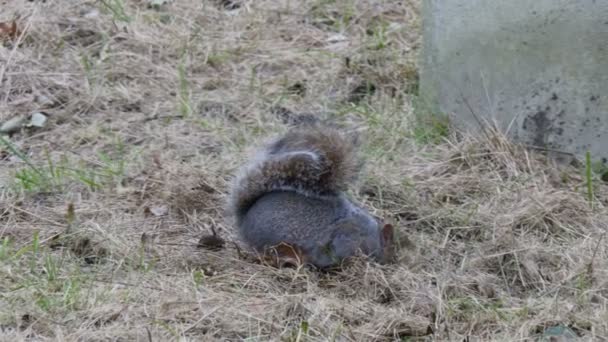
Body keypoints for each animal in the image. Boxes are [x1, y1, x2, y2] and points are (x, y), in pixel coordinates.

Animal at [227, 124, 394, 268]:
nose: (391, 261)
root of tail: (244, 219)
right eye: (392, 248)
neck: (371, 234)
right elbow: (332, 255)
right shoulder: (347, 237)